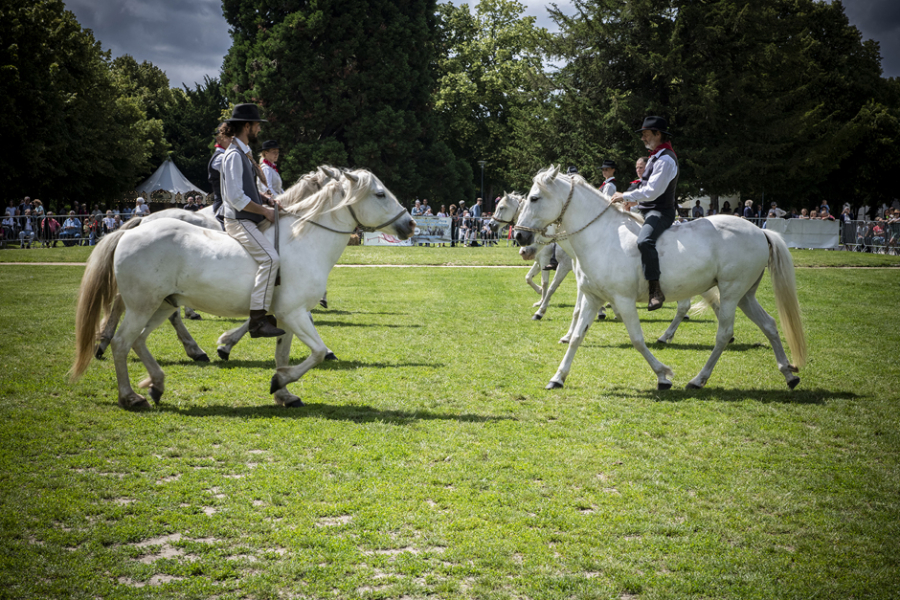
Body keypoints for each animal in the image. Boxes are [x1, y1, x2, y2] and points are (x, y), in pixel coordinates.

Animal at [488, 190, 700, 344]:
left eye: (501, 207)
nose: (490, 226)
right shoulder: (551, 265)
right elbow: (536, 281)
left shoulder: (563, 266)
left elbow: (554, 288)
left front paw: (541, 312)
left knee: (684, 304)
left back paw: (667, 332)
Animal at [512, 165, 808, 390]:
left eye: (535, 198)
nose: (519, 237)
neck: (601, 236)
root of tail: (760, 231)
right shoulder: (593, 298)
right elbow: (576, 337)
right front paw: (557, 378)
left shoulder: (624, 300)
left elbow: (637, 340)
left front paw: (663, 375)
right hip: (745, 295)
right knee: (769, 325)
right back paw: (789, 375)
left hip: (731, 292)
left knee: (723, 334)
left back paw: (698, 379)